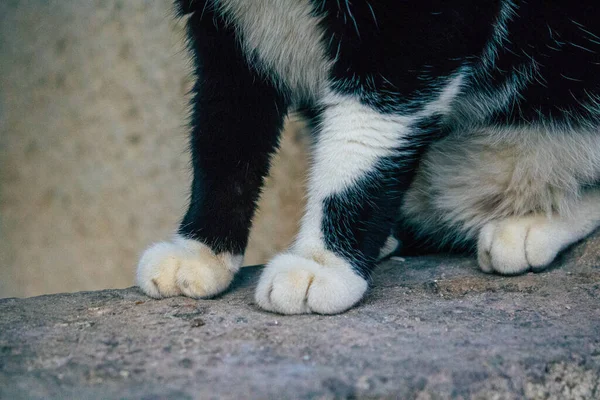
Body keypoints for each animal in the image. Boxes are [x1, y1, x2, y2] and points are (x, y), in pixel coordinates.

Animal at [136, 1, 600, 316]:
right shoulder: (224, 35)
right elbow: (223, 135)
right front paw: (201, 250)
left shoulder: (414, 34)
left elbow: (360, 145)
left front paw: (322, 264)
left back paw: (530, 224)